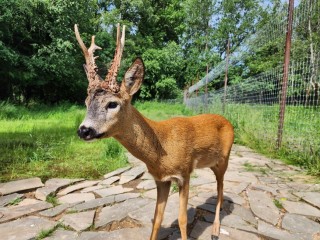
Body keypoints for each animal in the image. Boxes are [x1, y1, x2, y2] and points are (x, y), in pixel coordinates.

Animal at [75, 23, 235, 240]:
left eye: (112, 104)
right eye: (86, 102)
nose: (84, 130)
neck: (162, 150)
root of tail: (226, 120)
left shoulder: (184, 173)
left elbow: (182, 219)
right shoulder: (161, 180)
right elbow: (157, 219)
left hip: (224, 159)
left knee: (221, 189)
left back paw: (216, 230)